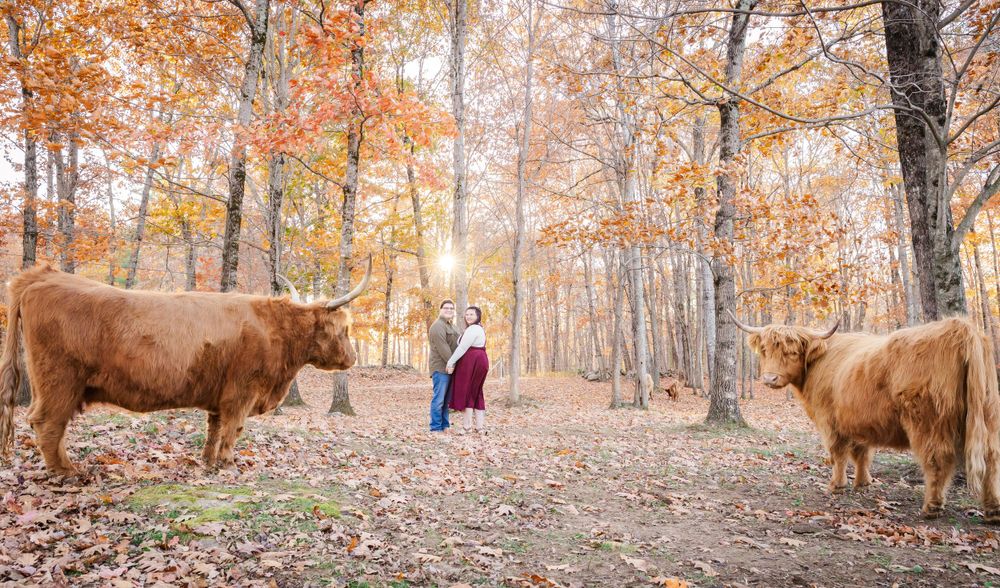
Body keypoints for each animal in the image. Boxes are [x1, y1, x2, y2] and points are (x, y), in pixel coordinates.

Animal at [0, 260, 371, 476]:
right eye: (344, 328)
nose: (352, 358)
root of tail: (40, 277)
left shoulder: (220, 396)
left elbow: (214, 429)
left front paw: (208, 461)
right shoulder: (242, 391)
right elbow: (233, 429)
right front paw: (228, 465)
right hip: (59, 380)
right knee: (47, 422)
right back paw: (67, 472)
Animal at [731, 312, 1000, 523]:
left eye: (792, 352)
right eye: (765, 350)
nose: (769, 379)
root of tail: (960, 327)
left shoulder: (829, 420)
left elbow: (838, 454)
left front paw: (836, 485)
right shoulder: (859, 421)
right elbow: (862, 452)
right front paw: (863, 482)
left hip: (928, 420)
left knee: (938, 459)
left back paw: (932, 507)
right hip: (988, 413)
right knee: (991, 458)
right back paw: (992, 510)